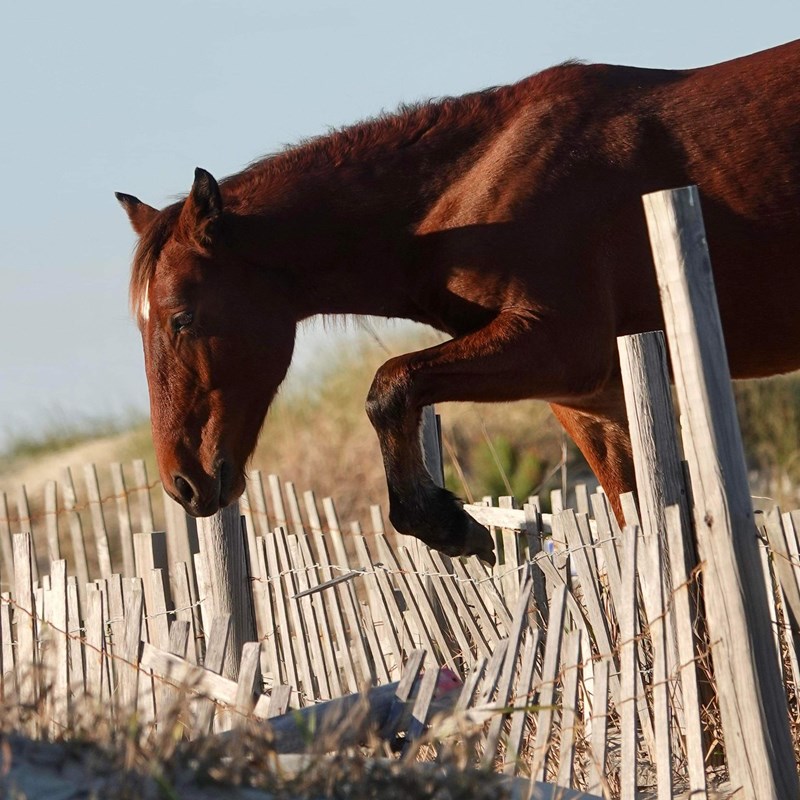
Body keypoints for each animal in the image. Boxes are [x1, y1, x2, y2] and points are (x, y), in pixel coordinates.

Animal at [118, 39, 800, 565]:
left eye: (181, 317)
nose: (183, 482)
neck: (477, 184)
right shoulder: (593, 396)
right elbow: (648, 526)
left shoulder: (562, 344)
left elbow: (390, 385)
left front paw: (448, 525)